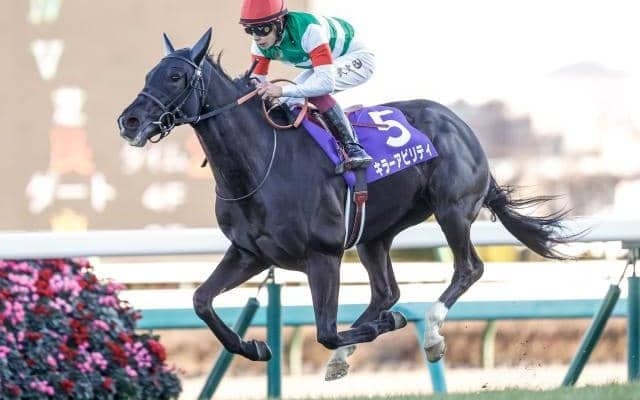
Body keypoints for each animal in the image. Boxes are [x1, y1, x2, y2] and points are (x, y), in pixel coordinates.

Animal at [117, 28, 575, 380]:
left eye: (176, 76)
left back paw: (429, 334)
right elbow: (201, 301)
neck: (261, 166)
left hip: (452, 209)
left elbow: (326, 331)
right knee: (386, 291)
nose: (129, 121)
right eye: (149, 74)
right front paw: (253, 346)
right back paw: (353, 349)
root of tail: (461, 125)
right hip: (375, 235)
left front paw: (386, 327)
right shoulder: (250, 253)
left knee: (468, 268)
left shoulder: (323, 256)